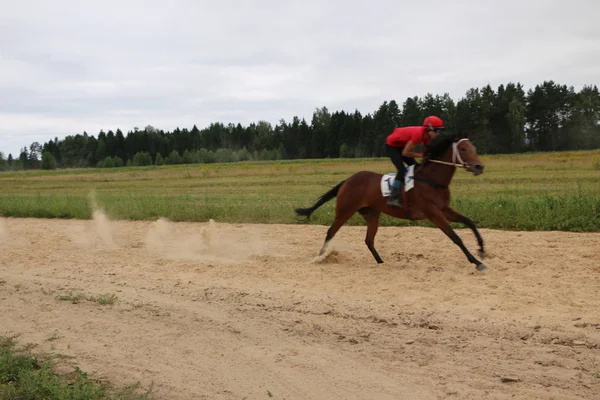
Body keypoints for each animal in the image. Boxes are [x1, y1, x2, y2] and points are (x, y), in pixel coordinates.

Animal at [294, 131, 488, 272]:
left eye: (474, 147)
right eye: (463, 149)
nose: (479, 166)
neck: (432, 180)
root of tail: (347, 180)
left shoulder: (444, 209)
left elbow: (470, 222)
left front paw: (482, 250)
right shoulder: (433, 213)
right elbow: (455, 236)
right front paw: (476, 261)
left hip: (372, 214)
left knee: (369, 240)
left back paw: (381, 262)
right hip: (345, 210)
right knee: (330, 232)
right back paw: (319, 257)